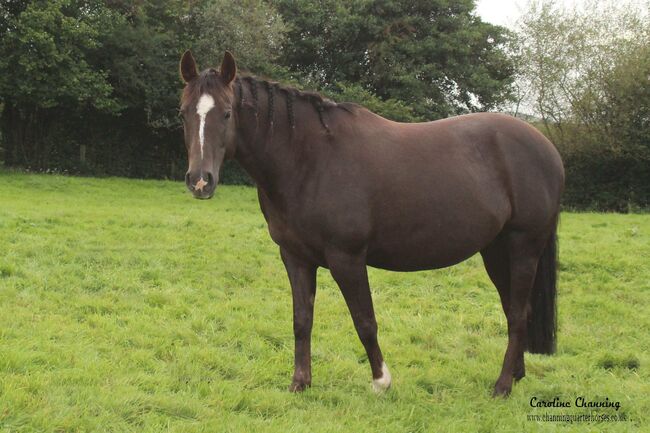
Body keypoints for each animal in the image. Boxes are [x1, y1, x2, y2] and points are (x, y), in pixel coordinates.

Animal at [176, 49, 560, 394]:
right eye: (183, 113)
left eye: (227, 113)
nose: (200, 181)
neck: (310, 160)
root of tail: (547, 147)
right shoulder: (295, 258)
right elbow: (302, 320)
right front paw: (300, 383)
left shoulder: (346, 258)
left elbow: (364, 321)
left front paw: (381, 381)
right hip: (496, 251)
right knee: (515, 309)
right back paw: (516, 375)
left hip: (523, 247)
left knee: (516, 313)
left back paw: (502, 385)